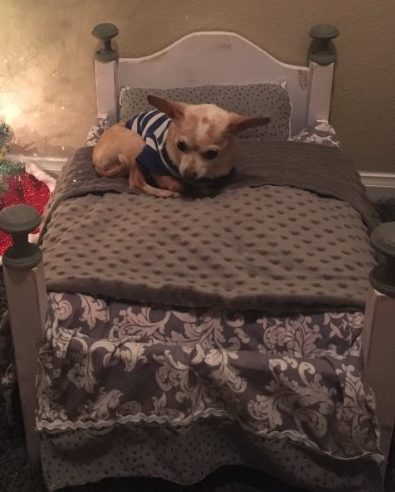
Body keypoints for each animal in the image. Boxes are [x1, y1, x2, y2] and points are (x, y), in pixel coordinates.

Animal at [92, 95, 270, 197]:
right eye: (180, 145)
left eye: (212, 154)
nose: (189, 174)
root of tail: (95, 160)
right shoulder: (151, 156)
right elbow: (174, 183)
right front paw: (176, 185)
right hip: (138, 144)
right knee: (135, 182)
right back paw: (163, 192)